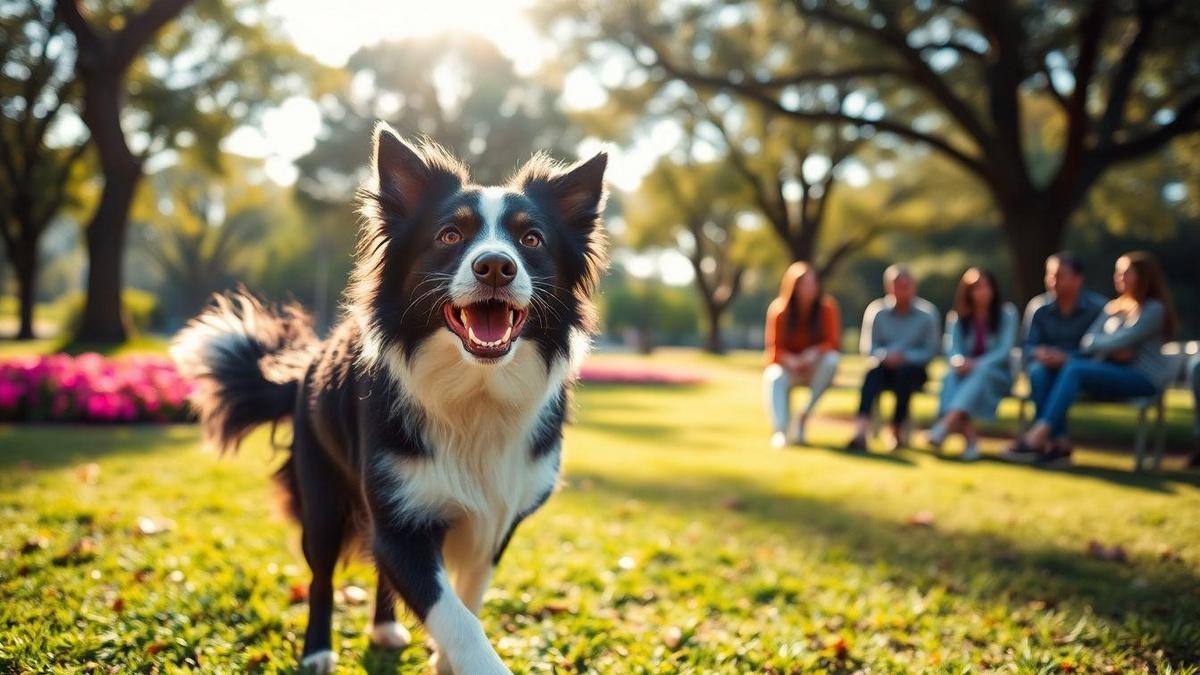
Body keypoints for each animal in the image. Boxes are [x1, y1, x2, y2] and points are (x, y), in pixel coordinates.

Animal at [172, 121, 604, 672]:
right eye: (450, 235)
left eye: (532, 239)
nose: (495, 267)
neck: (475, 392)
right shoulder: (400, 516)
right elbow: (456, 617)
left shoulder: (498, 518)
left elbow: (467, 601)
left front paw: (444, 662)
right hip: (322, 493)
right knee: (321, 575)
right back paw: (318, 651)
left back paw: (383, 629)